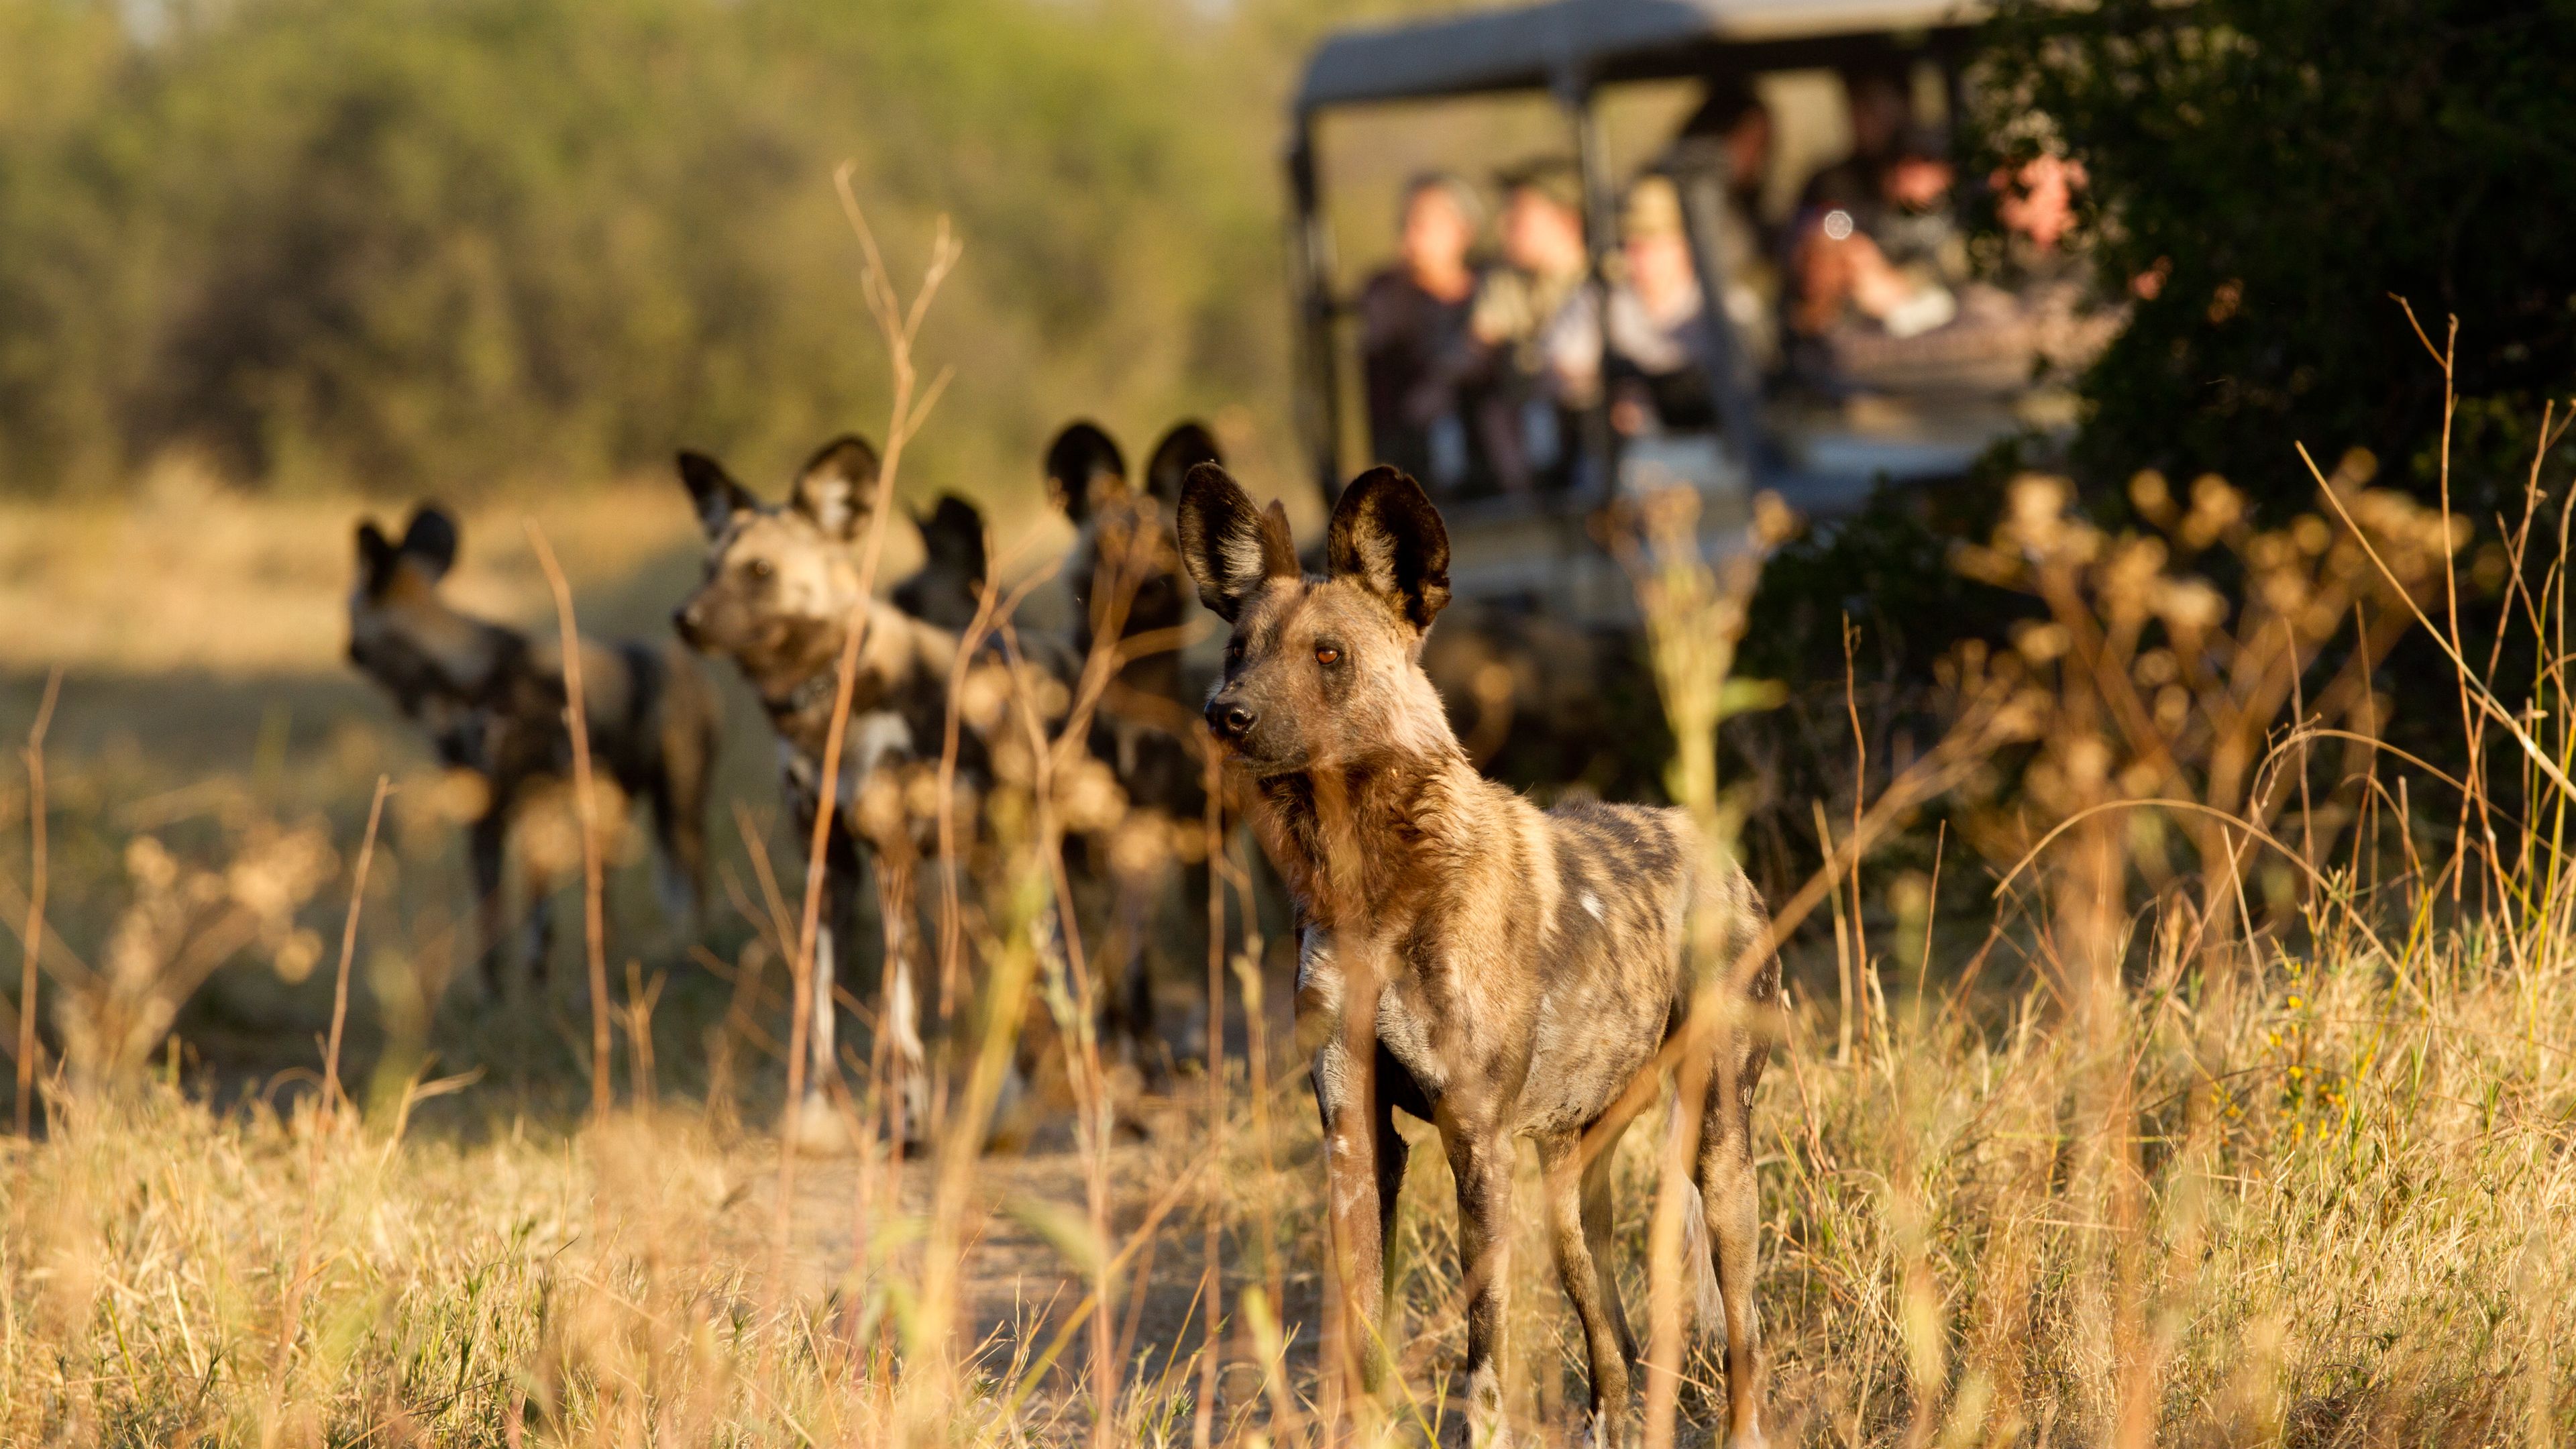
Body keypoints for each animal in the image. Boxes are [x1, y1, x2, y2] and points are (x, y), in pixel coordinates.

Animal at [347, 500, 721, 989]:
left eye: (349, 614)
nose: (348, 650)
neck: (468, 680)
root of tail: (692, 668)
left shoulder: (537, 804)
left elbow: (536, 915)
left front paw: (536, 982)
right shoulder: (485, 815)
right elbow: (490, 919)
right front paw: (494, 994)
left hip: (677, 807)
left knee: (691, 887)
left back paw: (688, 958)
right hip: (615, 809)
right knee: (613, 896)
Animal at [669, 433, 989, 1144]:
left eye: (760, 572)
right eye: (706, 568)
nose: (684, 618)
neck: (822, 707)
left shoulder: (893, 860)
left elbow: (898, 1009)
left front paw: (908, 1122)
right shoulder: (828, 863)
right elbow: (817, 998)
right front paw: (816, 1111)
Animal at [1040, 412, 1221, 1067]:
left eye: (1168, 544)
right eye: (1114, 543)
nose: (1155, 583)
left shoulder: (1139, 839)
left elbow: (1133, 960)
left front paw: (1141, 1044)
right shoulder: (1071, 851)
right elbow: (1093, 959)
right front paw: (1110, 1040)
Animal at [1179, 461, 1782, 1444]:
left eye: (1328, 656)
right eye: (1238, 650)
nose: (1223, 715)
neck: (1373, 887)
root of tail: (1717, 851)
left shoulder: (1476, 1143)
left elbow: (1483, 1364)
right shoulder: (1356, 1138)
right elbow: (1360, 1342)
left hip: (1718, 1155)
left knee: (1744, 1340)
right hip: (1570, 1193)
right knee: (1612, 1355)